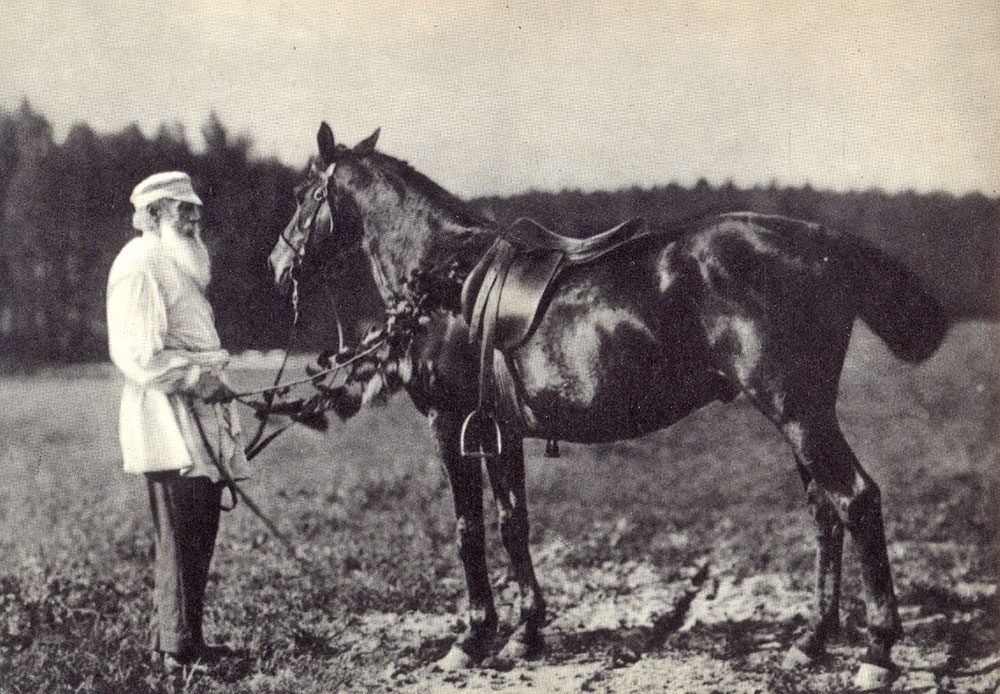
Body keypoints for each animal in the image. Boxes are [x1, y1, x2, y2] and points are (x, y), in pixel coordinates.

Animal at [268, 123, 944, 684]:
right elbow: (512, 523)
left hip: (797, 411)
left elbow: (468, 530)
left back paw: (877, 651)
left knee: (856, 500)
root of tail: (823, 239)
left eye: (302, 193)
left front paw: (473, 637)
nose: (276, 264)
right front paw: (526, 633)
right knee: (825, 511)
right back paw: (811, 640)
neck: (443, 281)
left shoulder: (450, 423)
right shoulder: (499, 430)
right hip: (801, 413)